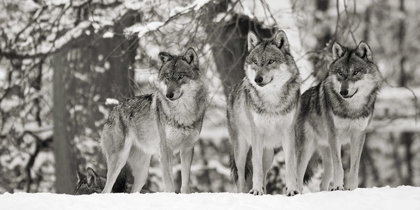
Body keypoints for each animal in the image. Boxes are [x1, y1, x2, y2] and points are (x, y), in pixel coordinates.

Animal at [100, 47, 208, 194]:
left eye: (180, 77)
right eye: (167, 77)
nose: (169, 95)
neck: (183, 113)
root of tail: (112, 111)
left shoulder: (188, 149)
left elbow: (185, 184)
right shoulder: (165, 150)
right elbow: (169, 184)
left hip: (143, 173)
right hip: (118, 161)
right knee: (105, 190)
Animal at [226, 30, 302, 196]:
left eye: (270, 61)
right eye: (255, 62)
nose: (257, 79)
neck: (272, 100)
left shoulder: (288, 133)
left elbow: (290, 165)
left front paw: (292, 190)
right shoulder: (257, 133)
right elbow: (256, 168)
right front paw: (255, 190)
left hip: (268, 154)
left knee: (265, 171)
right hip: (241, 150)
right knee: (241, 176)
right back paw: (244, 193)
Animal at [296, 41, 380, 192]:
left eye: (355, 72)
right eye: (340, 73)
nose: (343, 92)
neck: (352, 109)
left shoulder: (358, 135)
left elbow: (354, 168)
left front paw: (352, 188)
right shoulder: (334, 135)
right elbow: (339, 167)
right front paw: (338, 187)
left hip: (326, 153)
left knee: (322, 183)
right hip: (306, 150)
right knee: (298, 178)